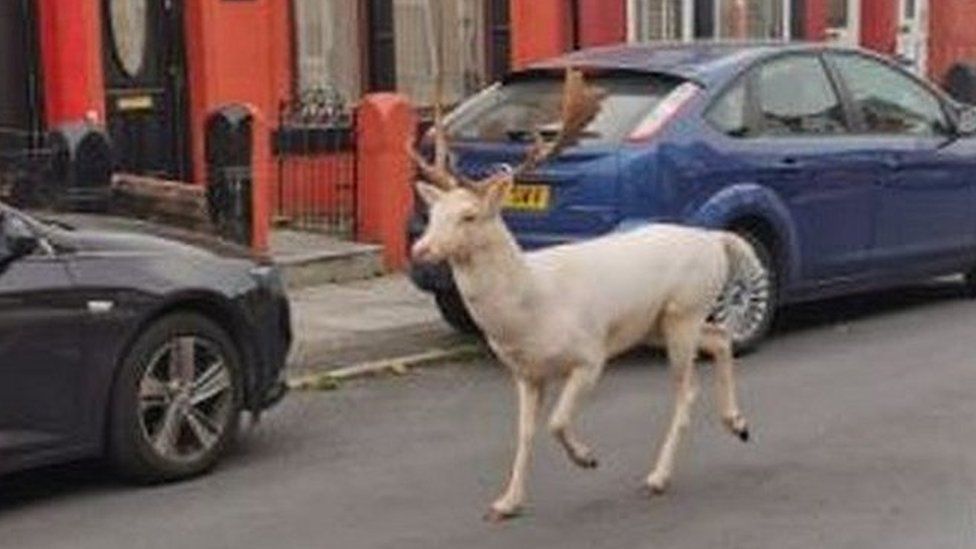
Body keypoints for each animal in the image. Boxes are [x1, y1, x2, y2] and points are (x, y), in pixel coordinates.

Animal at [409, 68, 760, 522]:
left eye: (468, 215)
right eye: (434, 214)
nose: (421, 249)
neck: (532, 309)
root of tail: (714, 239)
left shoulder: (590, 355)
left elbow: (557, 423)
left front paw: (587, 458)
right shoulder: (525, 373)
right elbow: (524, 433)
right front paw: (507, 502)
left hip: (686, 309)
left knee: (687, 390)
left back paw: (658, 476)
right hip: (659, 324)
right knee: (719, 339)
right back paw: (738, 423)